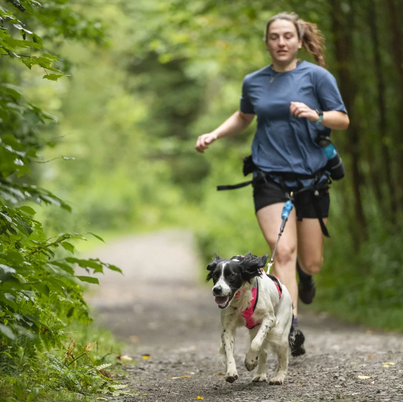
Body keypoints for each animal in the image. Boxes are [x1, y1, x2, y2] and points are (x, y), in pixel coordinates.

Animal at [208, 253, 294, 384]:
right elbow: (229, 351)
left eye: (231, 275)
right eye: (215, 275)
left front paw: (250, 361)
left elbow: (255, 344)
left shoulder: (269, 318)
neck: (241, 298)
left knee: (282, 358)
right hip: (255, 329)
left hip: (280, 332)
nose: (217, 289)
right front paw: (231, 372)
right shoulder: (227, 328)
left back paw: (279, 377)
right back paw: (260, 374)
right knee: (263, 352)